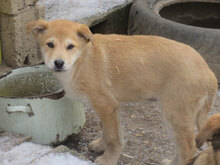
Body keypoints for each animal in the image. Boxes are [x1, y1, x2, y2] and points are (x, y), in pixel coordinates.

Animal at [26, 19, 217, 165]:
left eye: (70, 46)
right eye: (50, 45)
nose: (58, 63)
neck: (82, 60)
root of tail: (209, 72)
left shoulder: (106, 106)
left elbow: (113, 138)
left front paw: (108, 159)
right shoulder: (110, 109)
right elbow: (109, 131)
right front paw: (100, 146)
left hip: (174, 113)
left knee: (188, 148)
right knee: (183, 146)